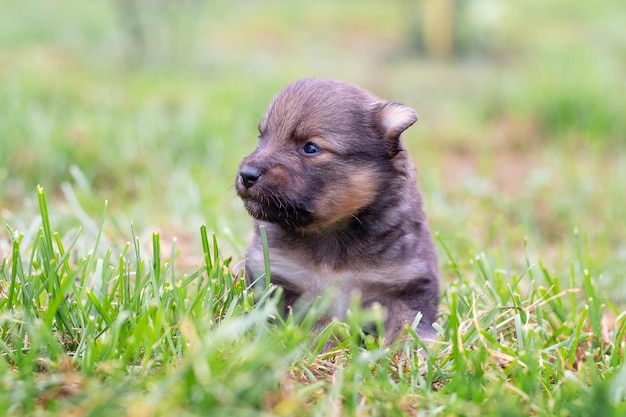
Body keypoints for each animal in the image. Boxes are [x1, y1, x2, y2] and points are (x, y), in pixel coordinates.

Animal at [235, 78, 438, 342]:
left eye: (310, 148)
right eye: (262, 138)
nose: (246, 175)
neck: (331, 233)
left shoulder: (408, 283)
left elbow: (408, 328)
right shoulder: (284, 280)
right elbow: (317, 326)